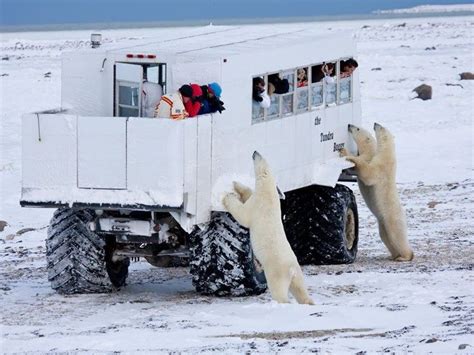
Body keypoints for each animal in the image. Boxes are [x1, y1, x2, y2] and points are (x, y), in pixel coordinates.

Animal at [223, 152, 314, 304]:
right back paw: (309, 302)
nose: (254, 151)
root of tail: (291, 269)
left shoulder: (258, 205)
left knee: (279, 291)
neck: (269, 191)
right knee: (300, 289)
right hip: (297, 272)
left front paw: (227, 197)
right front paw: (237, 184)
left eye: (260, 157)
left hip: (277, 271)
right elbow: (248, 194)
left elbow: (243, 215)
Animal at [340, 123, 414, 262]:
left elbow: (368, 173)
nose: (349, 125)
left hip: (392, 218)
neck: (387, 154)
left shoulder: (380, 166)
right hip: (382, 223)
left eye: (357, 128)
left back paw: (405, 256)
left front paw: (346, 154)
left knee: (397, 235)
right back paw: (394, 255)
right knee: (386, 237)